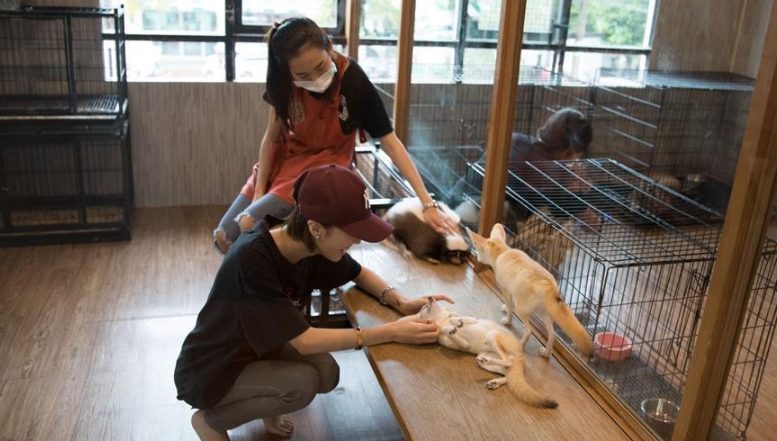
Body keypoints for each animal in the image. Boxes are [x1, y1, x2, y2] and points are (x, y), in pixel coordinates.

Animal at [404, 297, 558, 408]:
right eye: (424, 307)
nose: (430, 297)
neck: (442, 320)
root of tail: (520, 355)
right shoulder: (461, 343)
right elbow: (446, 330)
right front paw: (450, 328)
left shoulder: (471, 320)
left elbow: (456, 319)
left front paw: (456, 323)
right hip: (485, 357)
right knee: (508, 370)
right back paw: (495, 381)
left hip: (492, 335)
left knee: (508, 361)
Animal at [467, 223, 594, 359]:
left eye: (478, 250)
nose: (477, 257)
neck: (503, 251)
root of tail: (548, 284)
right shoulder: (512, 292)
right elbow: (510, 305)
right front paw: (506, 309)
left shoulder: (506, 290)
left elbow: (510, 308)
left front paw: (507, 320)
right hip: (544, 314)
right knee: (552, 335)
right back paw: (546, 353)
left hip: (522, 310)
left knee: (529, 331)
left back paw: (520, 345)